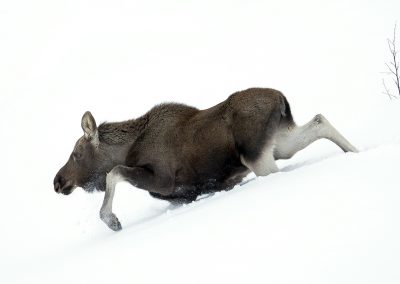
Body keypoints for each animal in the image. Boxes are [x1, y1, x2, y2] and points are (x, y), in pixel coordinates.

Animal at [54, 88, 360, 231]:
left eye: (76, 152)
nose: (57, 181)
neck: (128, 147)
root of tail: (282, 99)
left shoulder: (163, 180)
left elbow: (113, 172)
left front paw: (112, 220)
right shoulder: (182, 194)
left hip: (257, 158)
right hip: (279, 145)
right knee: (319, 120)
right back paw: (356, 151)